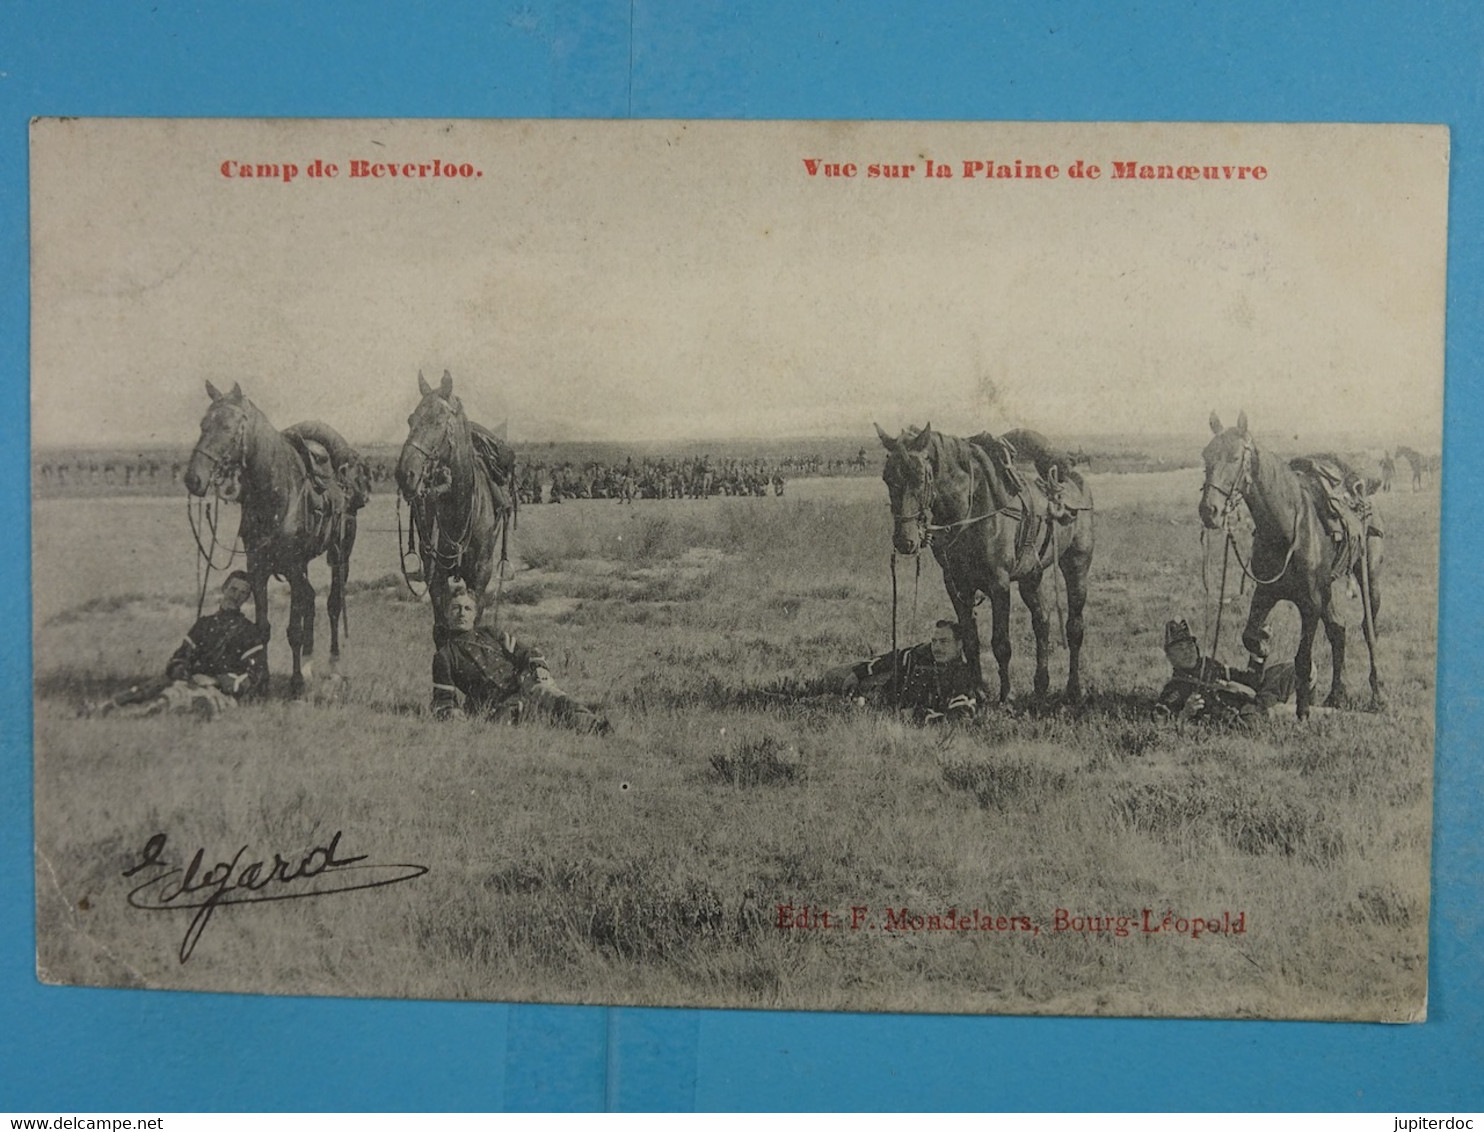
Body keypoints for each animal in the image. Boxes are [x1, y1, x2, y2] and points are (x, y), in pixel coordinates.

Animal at [184, 385, 363, 694]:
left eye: (228, 427)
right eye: (203, 425)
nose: (193, 479)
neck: (276, 494)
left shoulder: (293, 567)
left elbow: (293, 630)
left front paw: (296, 684)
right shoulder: (259, 568)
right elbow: (263, 628)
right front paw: (264, 682)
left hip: (340, 555)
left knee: (332, 605)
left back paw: (333, 667)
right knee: (310, 599)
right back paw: (309, 664)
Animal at [394, 369, 516, 640]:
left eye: (439, 422)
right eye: (410, 420)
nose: (405, 473)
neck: (458, 509)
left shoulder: (481, 573)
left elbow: (475, 621)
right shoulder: (435, 574)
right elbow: (441, 628)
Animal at [872, 424, 1098, 709]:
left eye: (921, 477)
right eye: (886, 478)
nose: (905, 541)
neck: (972, 508)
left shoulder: (999, 584)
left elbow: (1001, 644)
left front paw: (1006, 696)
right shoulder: (957, 585)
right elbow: (970, 640)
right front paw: (978, 692)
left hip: (1076, 564)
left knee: (1074, 627)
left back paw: (1073, 690)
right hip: (1031, 575)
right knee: (1042, 622)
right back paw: (1040, 686)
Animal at [1187, 415, 1383, 718]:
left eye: (1234, 457)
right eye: (1205, 456)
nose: (1210, 511)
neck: (1287, 527)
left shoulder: (1310, 603)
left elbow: (1303, 658)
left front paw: (1303, 710)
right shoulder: (1266, 593)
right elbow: (1250, 636)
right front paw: (1262, 649)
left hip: (1368, 578)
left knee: (1367, 630)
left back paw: (1377, 693)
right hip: (1327, 589)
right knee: (1338, 629)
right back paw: (1336, 695)